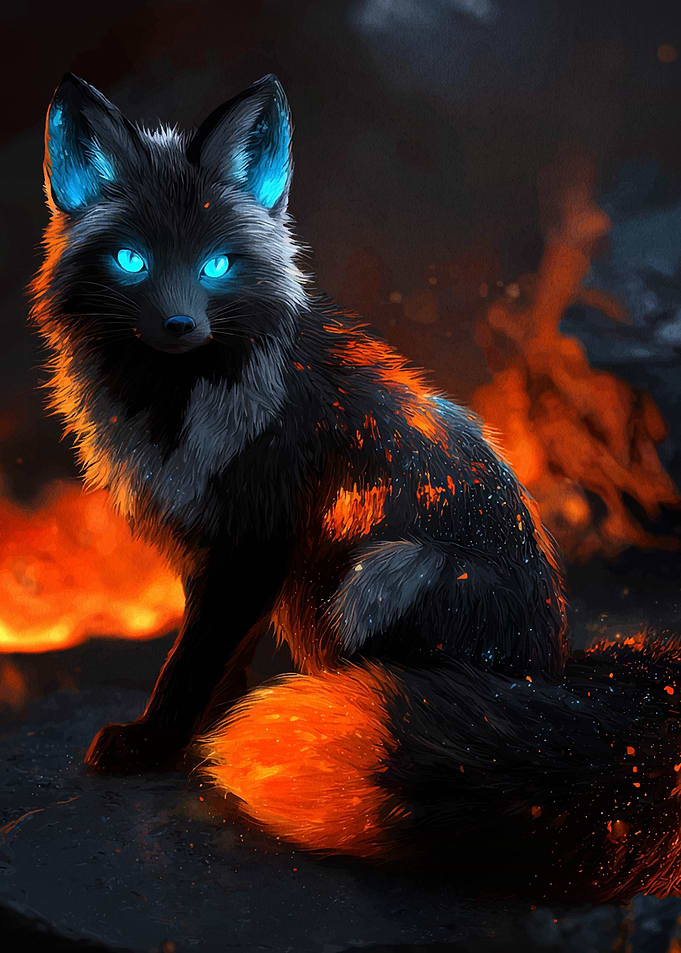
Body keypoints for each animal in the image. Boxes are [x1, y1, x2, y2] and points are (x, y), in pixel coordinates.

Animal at [30, 72, 681, 902]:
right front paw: (217, 733)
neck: (181, 403)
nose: (179, 325)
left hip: (383, 572)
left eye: (217, 266)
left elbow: (189, 665)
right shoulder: (217, 556)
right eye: (130, 259)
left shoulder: (254, 545)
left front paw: (156, 744)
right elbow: (222, 660)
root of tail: (554, 668)